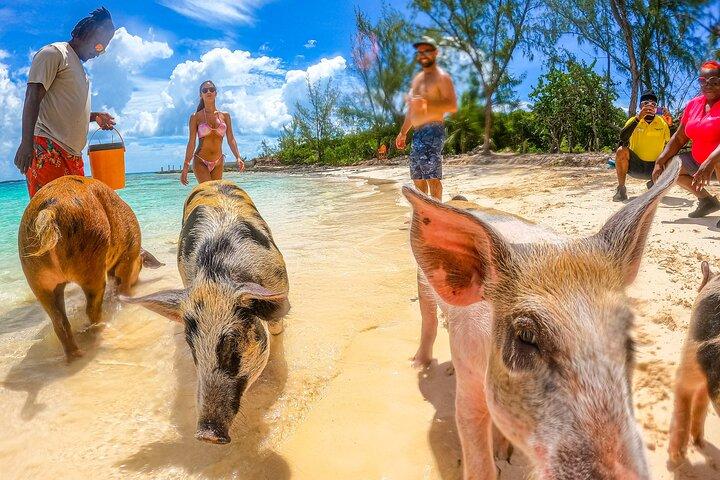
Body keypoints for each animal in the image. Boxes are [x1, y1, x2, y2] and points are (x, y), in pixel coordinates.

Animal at [18, 176, 163, 361]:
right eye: (139, 268)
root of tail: (50, 211)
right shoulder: (127, 258)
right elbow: (122, 288)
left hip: (36, 277)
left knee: (58, 320)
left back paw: (76, 356)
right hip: (92, 258)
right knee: (92, 309)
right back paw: (97, 333)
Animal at [121, 180, 290, 444]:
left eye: (232, 345)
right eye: (192, 347)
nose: (206, 434)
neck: (217, 274)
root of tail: (212, 181)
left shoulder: (277, 283)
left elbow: (276, 331)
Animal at [404, 157, 681, 479]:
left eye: (628, 340)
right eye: (525, 338)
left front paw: (504, 454)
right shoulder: (468, 371)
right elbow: (474, 443)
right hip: (421, 283)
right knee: (429, 319)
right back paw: (419, 364)